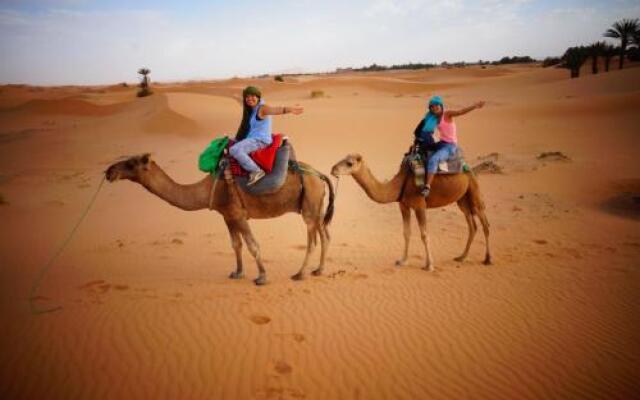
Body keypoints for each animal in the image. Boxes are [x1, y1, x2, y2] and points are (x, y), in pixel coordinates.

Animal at [105, 152, 336, 284]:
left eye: (131, 164)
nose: (109, 171)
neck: (210, 189)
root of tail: (320, 175)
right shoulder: (227, 216)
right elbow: (236, 244)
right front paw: (238, 272)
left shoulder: (239, 214)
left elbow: (253, 245)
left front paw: (262, 276)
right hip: (317, 206)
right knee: (325, 235)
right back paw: (319, 270)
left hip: (309, 205)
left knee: (312, 240)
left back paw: (299, 274)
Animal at [330, 155, 490, 270]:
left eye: (349, 163)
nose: (333, 169)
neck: (401, 184)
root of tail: (469, 168)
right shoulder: (403, 206)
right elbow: (406, 233)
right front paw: (402, 261)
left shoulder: (420, 205)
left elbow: (424, 235)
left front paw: (429, 265)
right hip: (462, 199)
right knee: (472, 225)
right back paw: (462, 257)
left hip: (474, 191)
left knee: (485, 223)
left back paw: (488, 259)